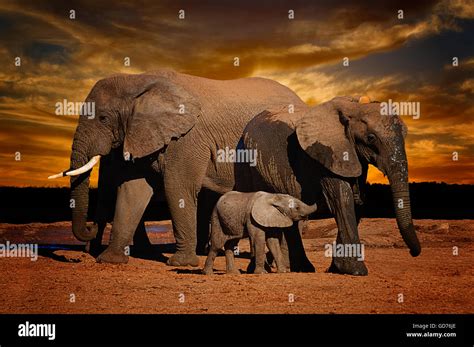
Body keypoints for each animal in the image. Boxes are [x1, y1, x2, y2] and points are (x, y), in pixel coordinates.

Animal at [50, 69, 306, 268]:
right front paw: (109, 260)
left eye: (103, 118)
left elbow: (177, 187)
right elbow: (132, 191)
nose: (90, 227)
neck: (139, 80)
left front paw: (181, 263)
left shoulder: (188, 138)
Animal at [237, 96, 422, 276]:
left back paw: (301, 268)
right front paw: (356, 271)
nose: (413, 253)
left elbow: (358, 202)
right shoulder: (326, 156)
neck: (354, 107)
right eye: (371, 138)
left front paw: (337, 269)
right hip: (249, 166)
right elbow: (342, 200)